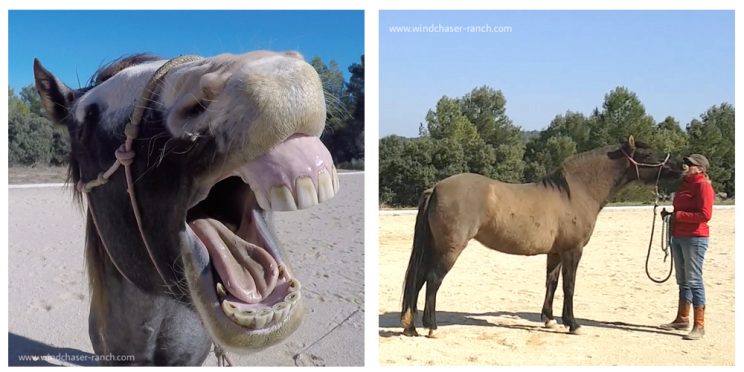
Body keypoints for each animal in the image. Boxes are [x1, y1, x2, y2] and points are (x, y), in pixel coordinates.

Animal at [402, 137, 680, 338]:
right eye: (647, 155)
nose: (681, 165)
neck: (574, 193)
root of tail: (436, 188)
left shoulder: (555, 252)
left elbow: (552, 283)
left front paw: (550, 320)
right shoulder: (573, 250)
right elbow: (569, 286)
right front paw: (573, 324)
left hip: (434, 247)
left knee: (418, 279)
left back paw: (410, 327)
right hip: (450, 249)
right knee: (433, 280)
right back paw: (431, 328)